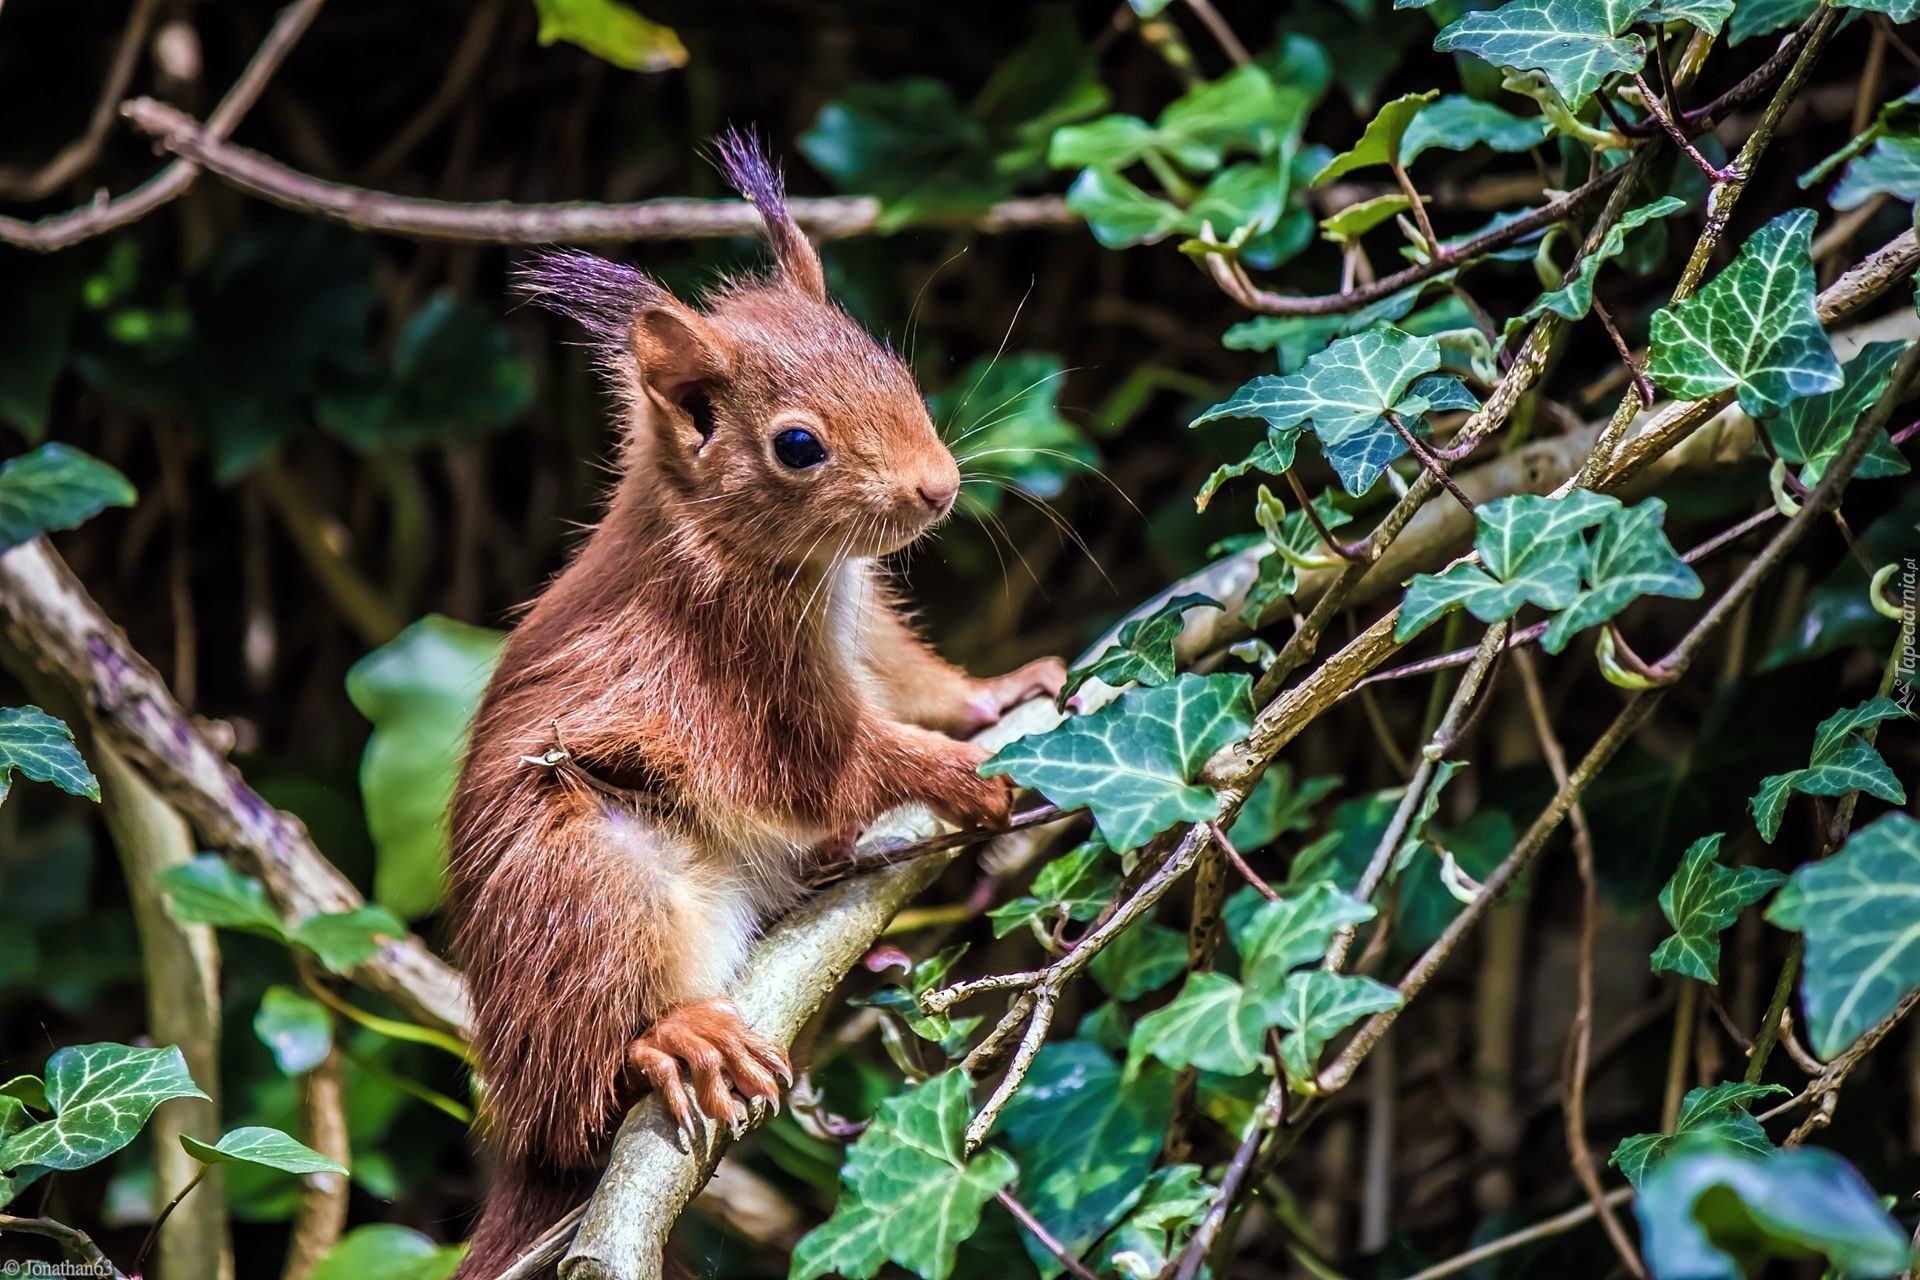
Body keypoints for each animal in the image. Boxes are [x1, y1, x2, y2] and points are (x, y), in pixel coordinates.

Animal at [447, 135, 1067, 1274]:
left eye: (894, 368)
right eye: (797, 446)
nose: (940, 487)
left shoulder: (863, 628)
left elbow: (913, 681)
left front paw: (1000, 692)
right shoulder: (728, 675)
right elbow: (828, 761)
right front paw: (957, 770)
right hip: (576, 880)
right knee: (584, 1081)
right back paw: (669, 1039)